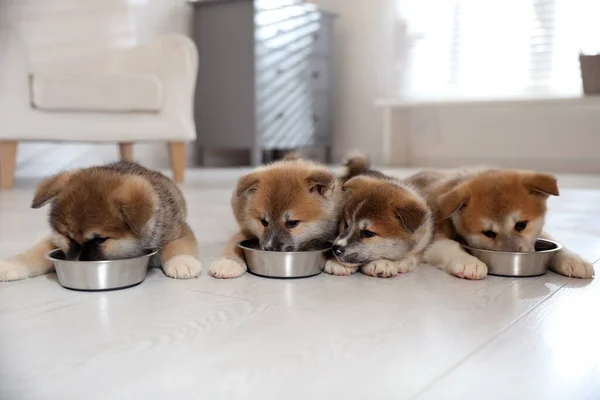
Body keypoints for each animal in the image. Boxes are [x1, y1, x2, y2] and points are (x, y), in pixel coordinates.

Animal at [0, 160, 202, 282]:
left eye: (99, 240)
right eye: (68, 237)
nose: (76, 263)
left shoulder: (179, 231)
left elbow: (177, 246)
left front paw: (182, 262)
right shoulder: (57, 241)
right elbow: (36, 253)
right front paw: (14, 264)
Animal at [408, 170, 596, 282]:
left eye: (521, 225)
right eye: (489, 233)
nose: (514, 254)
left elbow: (557, 244)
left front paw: (574, 259)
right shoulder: (433, 237)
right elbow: (450, 245)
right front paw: (468, 261)